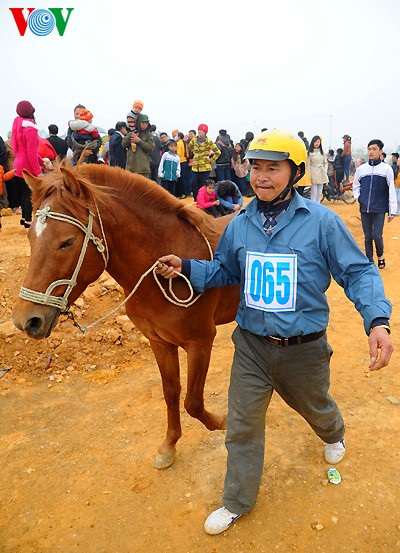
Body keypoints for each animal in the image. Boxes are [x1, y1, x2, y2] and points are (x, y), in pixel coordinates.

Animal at [12, 166, 239, 468]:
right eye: (30, 238)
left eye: (67, 242)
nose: (26, 320)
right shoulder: (159, 342)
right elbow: (171, 393)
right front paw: (169, 445)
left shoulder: (200, 341)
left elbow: (192, 401)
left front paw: (221, 421)